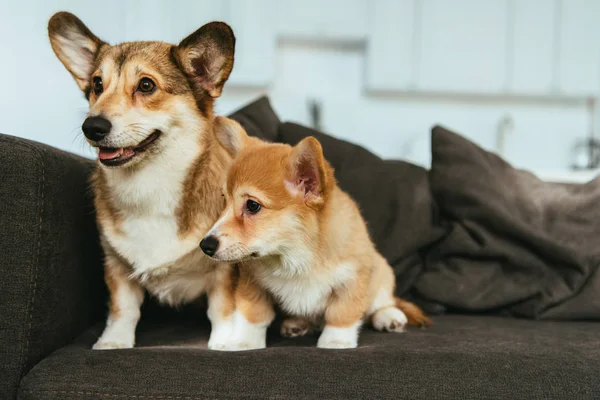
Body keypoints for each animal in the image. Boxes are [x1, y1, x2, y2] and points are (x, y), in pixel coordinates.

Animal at [48, 11, 239, 350]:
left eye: (146, 85)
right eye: (97, 84)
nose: (91, 127)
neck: (149, 184)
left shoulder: (224, 271)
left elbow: (221, 310)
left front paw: (224, 342)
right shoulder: (116, 265)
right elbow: (123, 308)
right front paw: (113, 342)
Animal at [202, 118, 432, 350]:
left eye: (252, 205)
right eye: (224, 200)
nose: (205, 246)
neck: (294, 255)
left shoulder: (352, 279)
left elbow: (342, 313)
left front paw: (336, 341)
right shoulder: (252, 283)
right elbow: (252, 314)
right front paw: (242, 342)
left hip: (382, 272)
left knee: (381, 303)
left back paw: (388, 316)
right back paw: (297, 323)